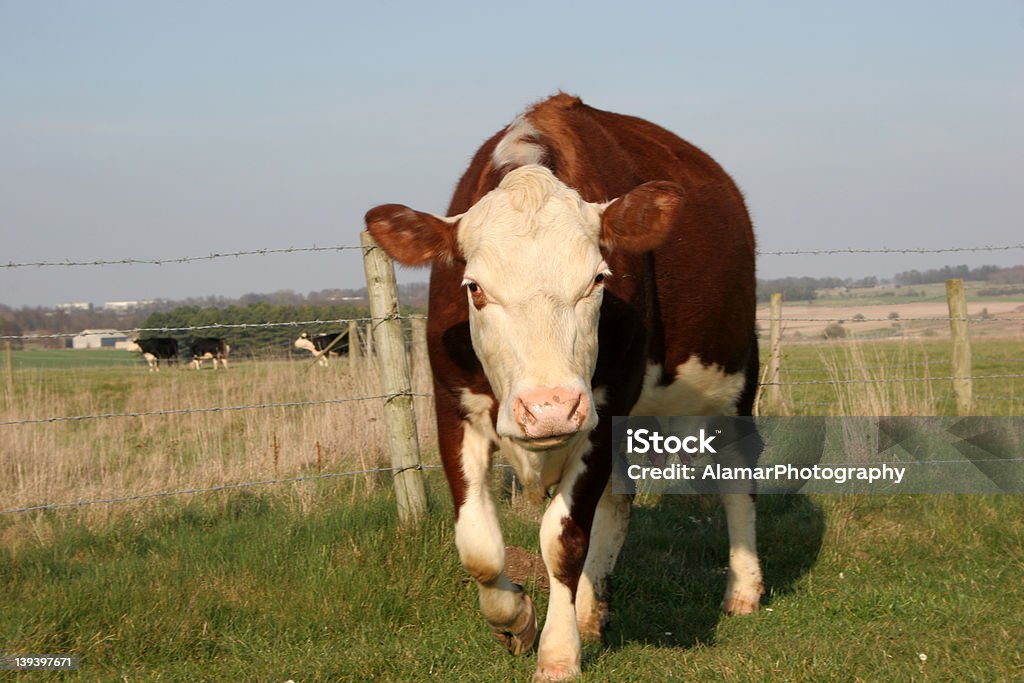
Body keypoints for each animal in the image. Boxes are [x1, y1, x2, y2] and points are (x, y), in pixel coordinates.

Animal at [366, 93, 761, 679]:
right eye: (474, 287)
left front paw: (558, 654)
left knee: (737, 480)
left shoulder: (600, 411)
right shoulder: (451, 410)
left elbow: (563, 540)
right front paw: (517, 620)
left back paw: (744, 589)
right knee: (619, 500)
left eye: (598, 279)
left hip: (734, 384)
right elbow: (479, 545)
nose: (549, 408)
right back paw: (591, 611)